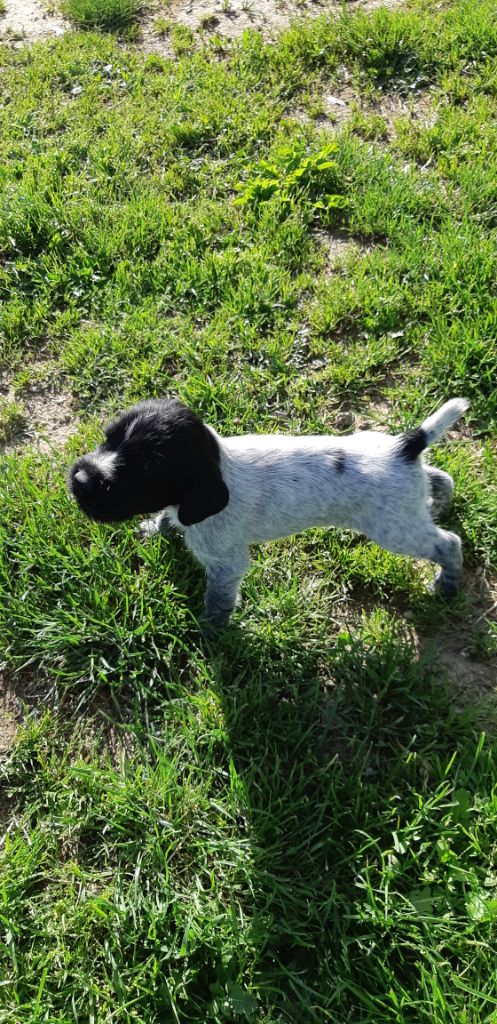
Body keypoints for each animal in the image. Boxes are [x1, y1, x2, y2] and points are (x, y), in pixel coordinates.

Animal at [69, 395, 469, 622]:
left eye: (146, 469)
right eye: (108, 438)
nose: (80, 480)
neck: (221, 464)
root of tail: (405, 445)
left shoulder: (226, 564)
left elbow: (217, 600)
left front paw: (209, 633)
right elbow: (169, 519)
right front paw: (157, 528)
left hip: (394, 529)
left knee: (448, 544)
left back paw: (447, 585)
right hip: (408, 501)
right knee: (438, 477)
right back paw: (441, 501)